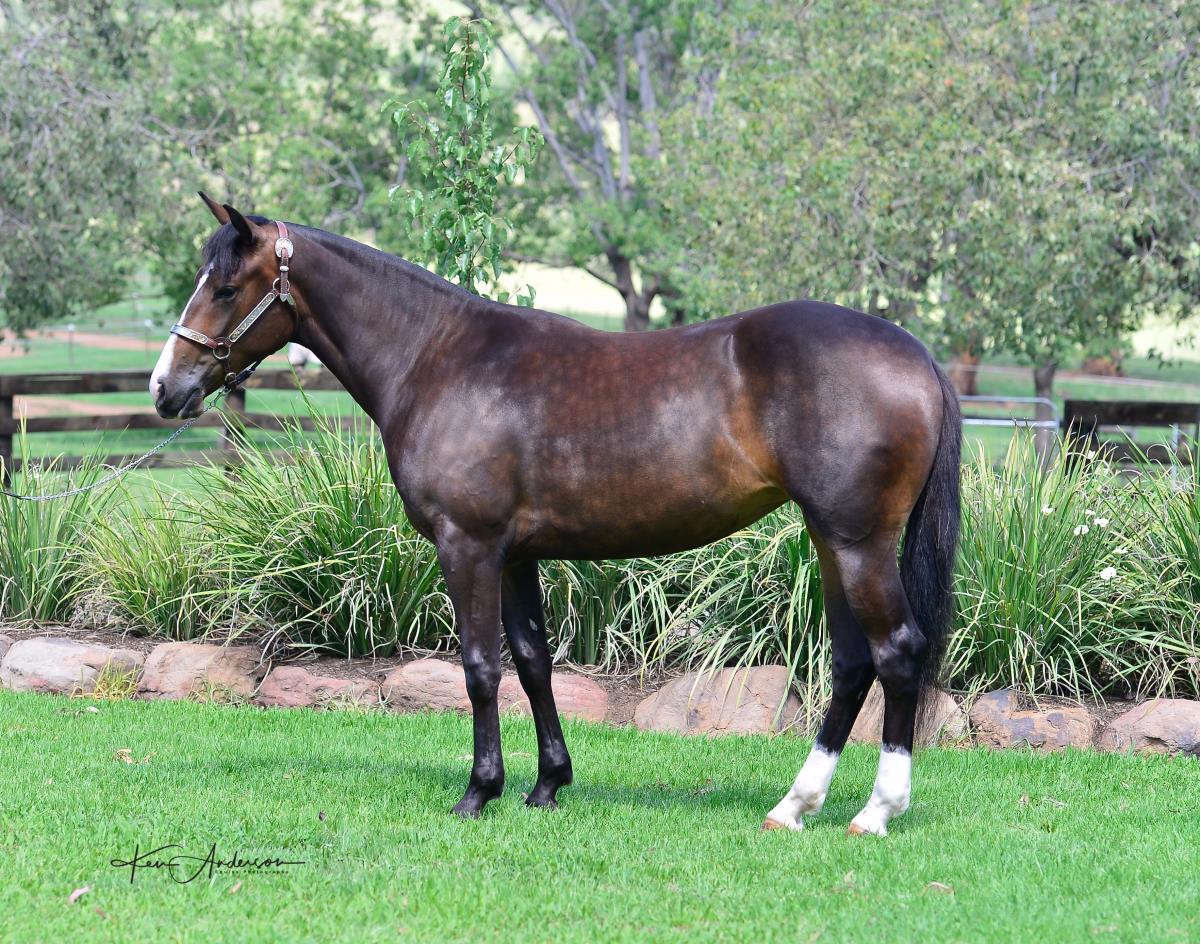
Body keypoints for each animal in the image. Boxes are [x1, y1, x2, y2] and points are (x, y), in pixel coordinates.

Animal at [150, 193, 961, 836]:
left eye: (226, 287)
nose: (164, 387)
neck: (439, 358)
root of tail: (917, 355)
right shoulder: (515, 555)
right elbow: (534, 662)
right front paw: (547, 784)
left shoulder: (467, 546)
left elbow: (480, 667)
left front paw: (479, 792)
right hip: (831, 542)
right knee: (852, 664)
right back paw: (795, 805)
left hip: (858, 543)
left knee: (896, 653)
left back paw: (875, 811)